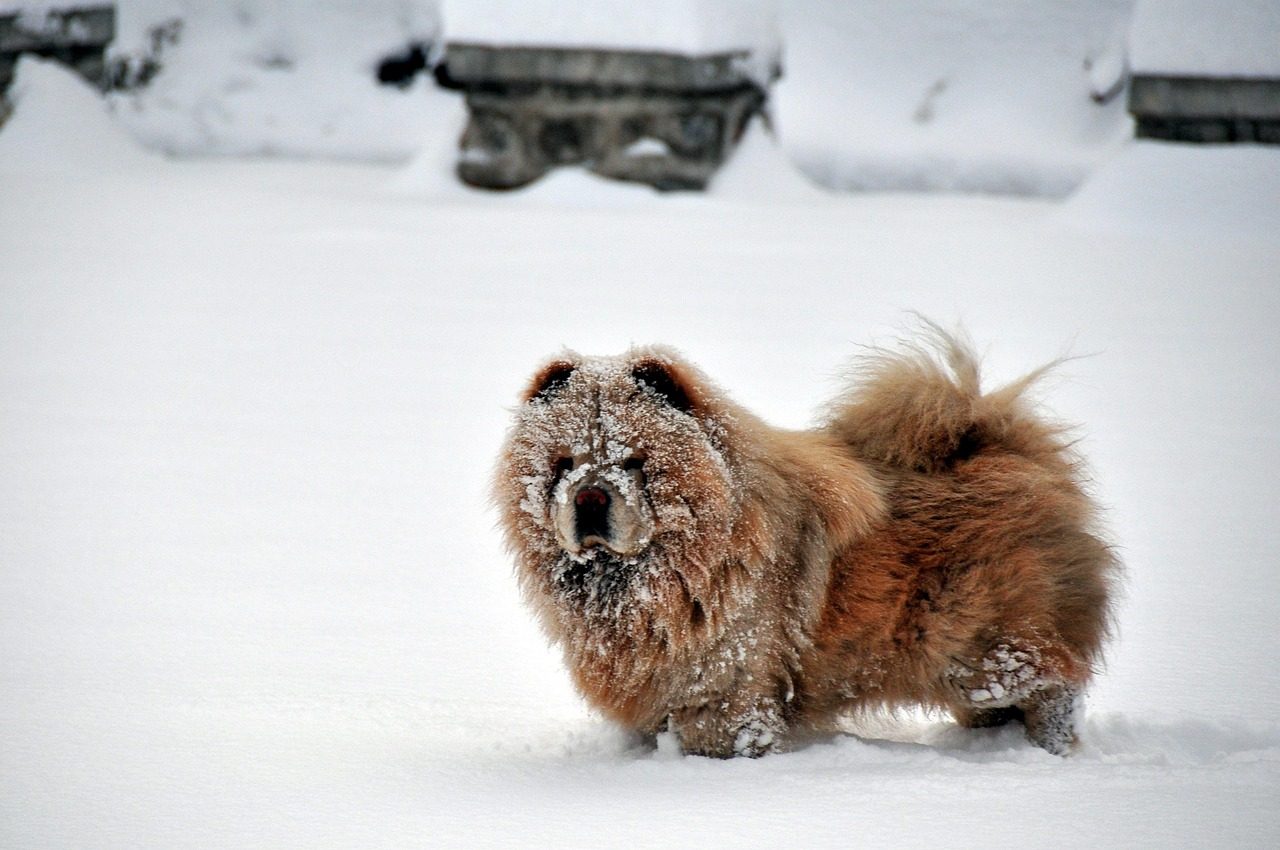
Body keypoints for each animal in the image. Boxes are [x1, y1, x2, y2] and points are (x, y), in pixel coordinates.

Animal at [495, 329, 1117, 757]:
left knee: (1053, 686)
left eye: (632, 463)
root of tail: (1008, 448)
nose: (589, 498)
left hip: (982, 651)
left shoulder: (727, 689)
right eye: (564, 465)